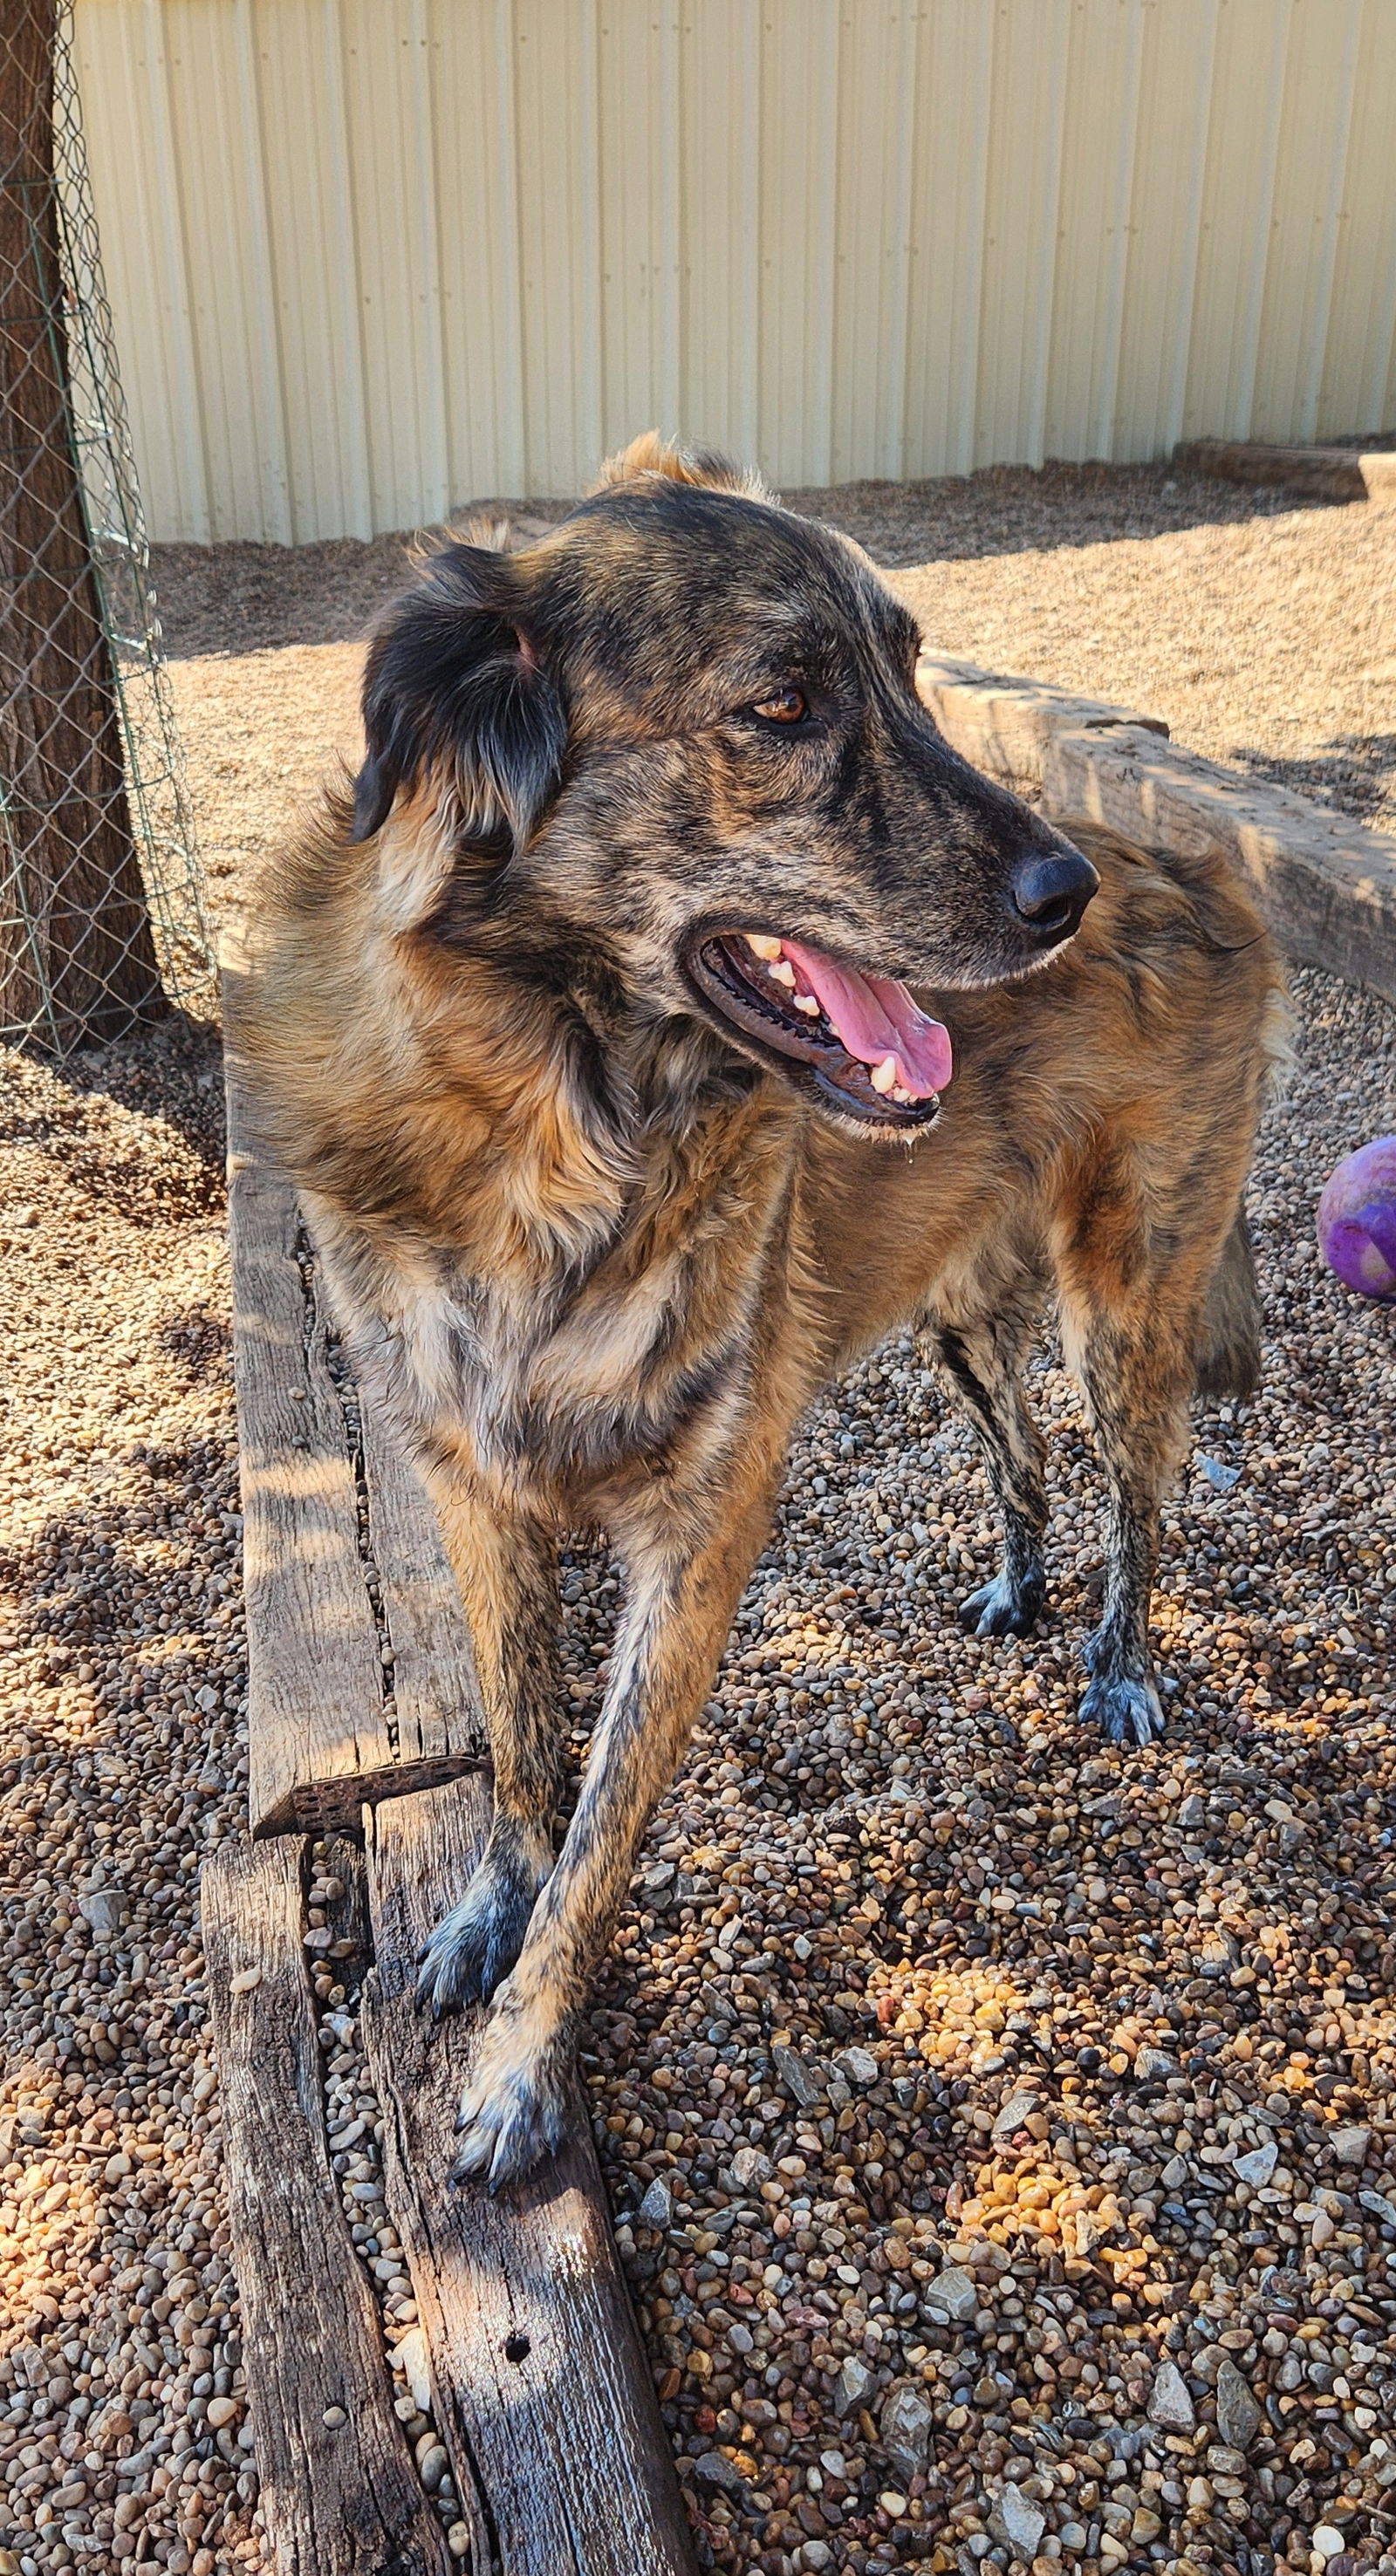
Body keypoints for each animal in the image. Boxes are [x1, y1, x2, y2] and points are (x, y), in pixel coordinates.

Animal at [243, 433, 1292, 2184]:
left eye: (914, 671)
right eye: (786, 704)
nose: (1067, 893)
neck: (555, 1129)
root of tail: (1206, 857)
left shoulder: (700, 1538)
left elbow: (599, 1832)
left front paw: (524, 2059)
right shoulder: (473, 1489)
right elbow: (519, 1748)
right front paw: (486, 1913)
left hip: (1126, 1303)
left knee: (1141, 1503)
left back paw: (1121, 1663)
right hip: (960, 1318)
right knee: (1025, 1461)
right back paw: (1018, 1588)